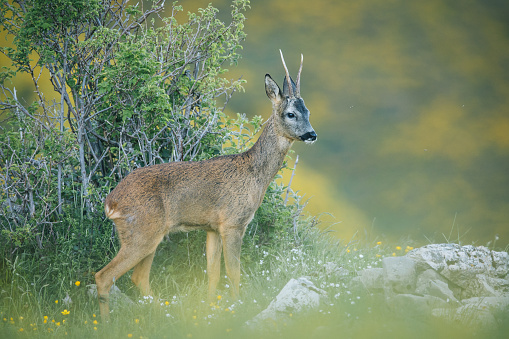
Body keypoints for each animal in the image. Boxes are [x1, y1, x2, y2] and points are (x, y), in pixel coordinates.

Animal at [94, 50, 314, 322]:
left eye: (308, 111)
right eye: (291, 113)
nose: (312, 134)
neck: (254, 174)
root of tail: (111, 202)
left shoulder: (212, 227)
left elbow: (213, 273)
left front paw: (212, 310)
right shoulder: (233, 222)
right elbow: (233, 272)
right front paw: (237, 307)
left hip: (149, 235)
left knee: (138, 278)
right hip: (141, 232)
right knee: (104, 277)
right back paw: (107, 323)